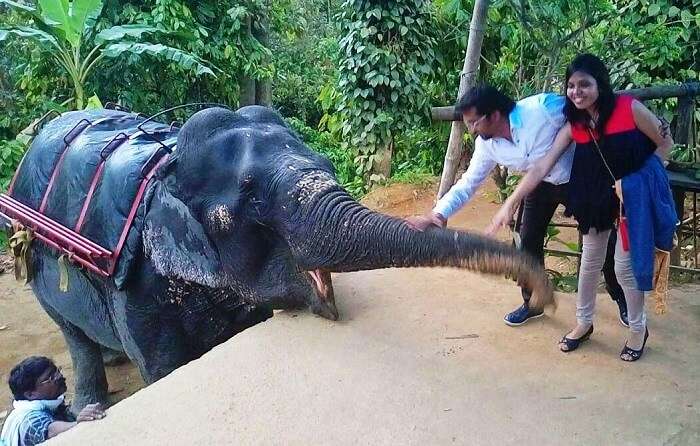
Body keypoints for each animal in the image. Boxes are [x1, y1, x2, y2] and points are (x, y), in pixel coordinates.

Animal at [5, 104, 552, 412]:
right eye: (250, 196)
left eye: (328, 163)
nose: (544, 296)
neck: (169, 168)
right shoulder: (137, 284)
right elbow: (164, 366)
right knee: (72, 332)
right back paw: (92, 409)